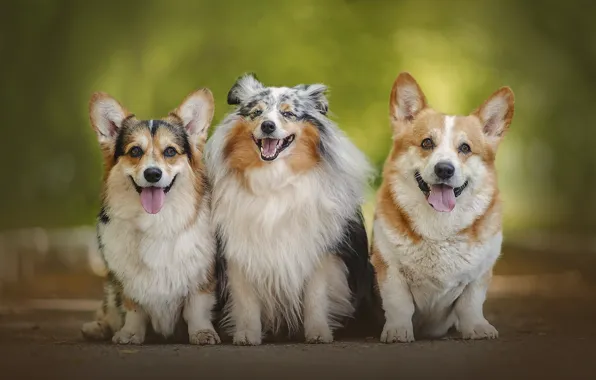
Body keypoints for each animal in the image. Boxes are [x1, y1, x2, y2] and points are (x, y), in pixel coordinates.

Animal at [79, 88, 219, 344]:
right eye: (135, 151)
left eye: (170, 151)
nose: (153, 174)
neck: (156, 220)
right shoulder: (127, 282)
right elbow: (133, 307)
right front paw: (130, 333)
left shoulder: (202, 278)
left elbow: (197, 309)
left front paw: (202, 333)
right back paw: (97, 328)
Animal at [205, 73, 372, 344]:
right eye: (257, 112)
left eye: (288, 113)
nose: (268, 126)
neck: (274, 178)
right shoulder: (238, 250)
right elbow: (245, 299)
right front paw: (247, 334)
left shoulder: (320, 251)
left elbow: (316, 296)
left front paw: (318, 333)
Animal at [370, 71, 516, 342]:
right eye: (427, 143)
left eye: (465, 148)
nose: (445, 169)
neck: (439, 225)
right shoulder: (389, 267)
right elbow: (398, 303)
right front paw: (398, 330)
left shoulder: (480, 274)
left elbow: (471, 303)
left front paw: (476, 327)